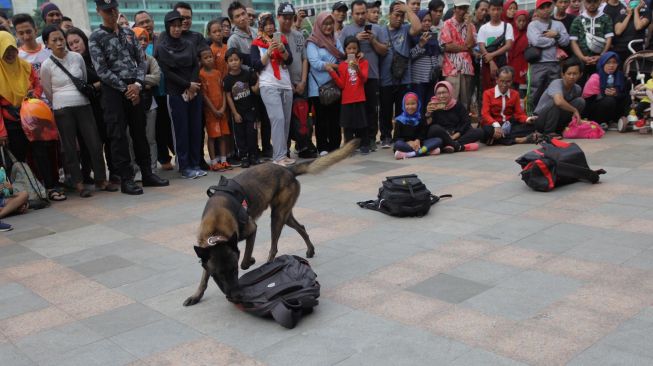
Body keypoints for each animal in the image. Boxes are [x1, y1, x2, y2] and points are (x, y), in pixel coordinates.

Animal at [182, 140, 356, 306]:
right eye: (217, 275)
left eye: (234, 271)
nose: (236, 296)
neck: (216, 227)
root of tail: (288, 170)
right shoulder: (206, 252)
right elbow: (203, 279)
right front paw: (196, 296)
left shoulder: (252, 230)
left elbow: (245, 260)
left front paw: (251, 260)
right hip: (285, 216)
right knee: (301, 228)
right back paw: (310, 250)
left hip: (277, 217)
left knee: (274, 247)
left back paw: (268, 265)